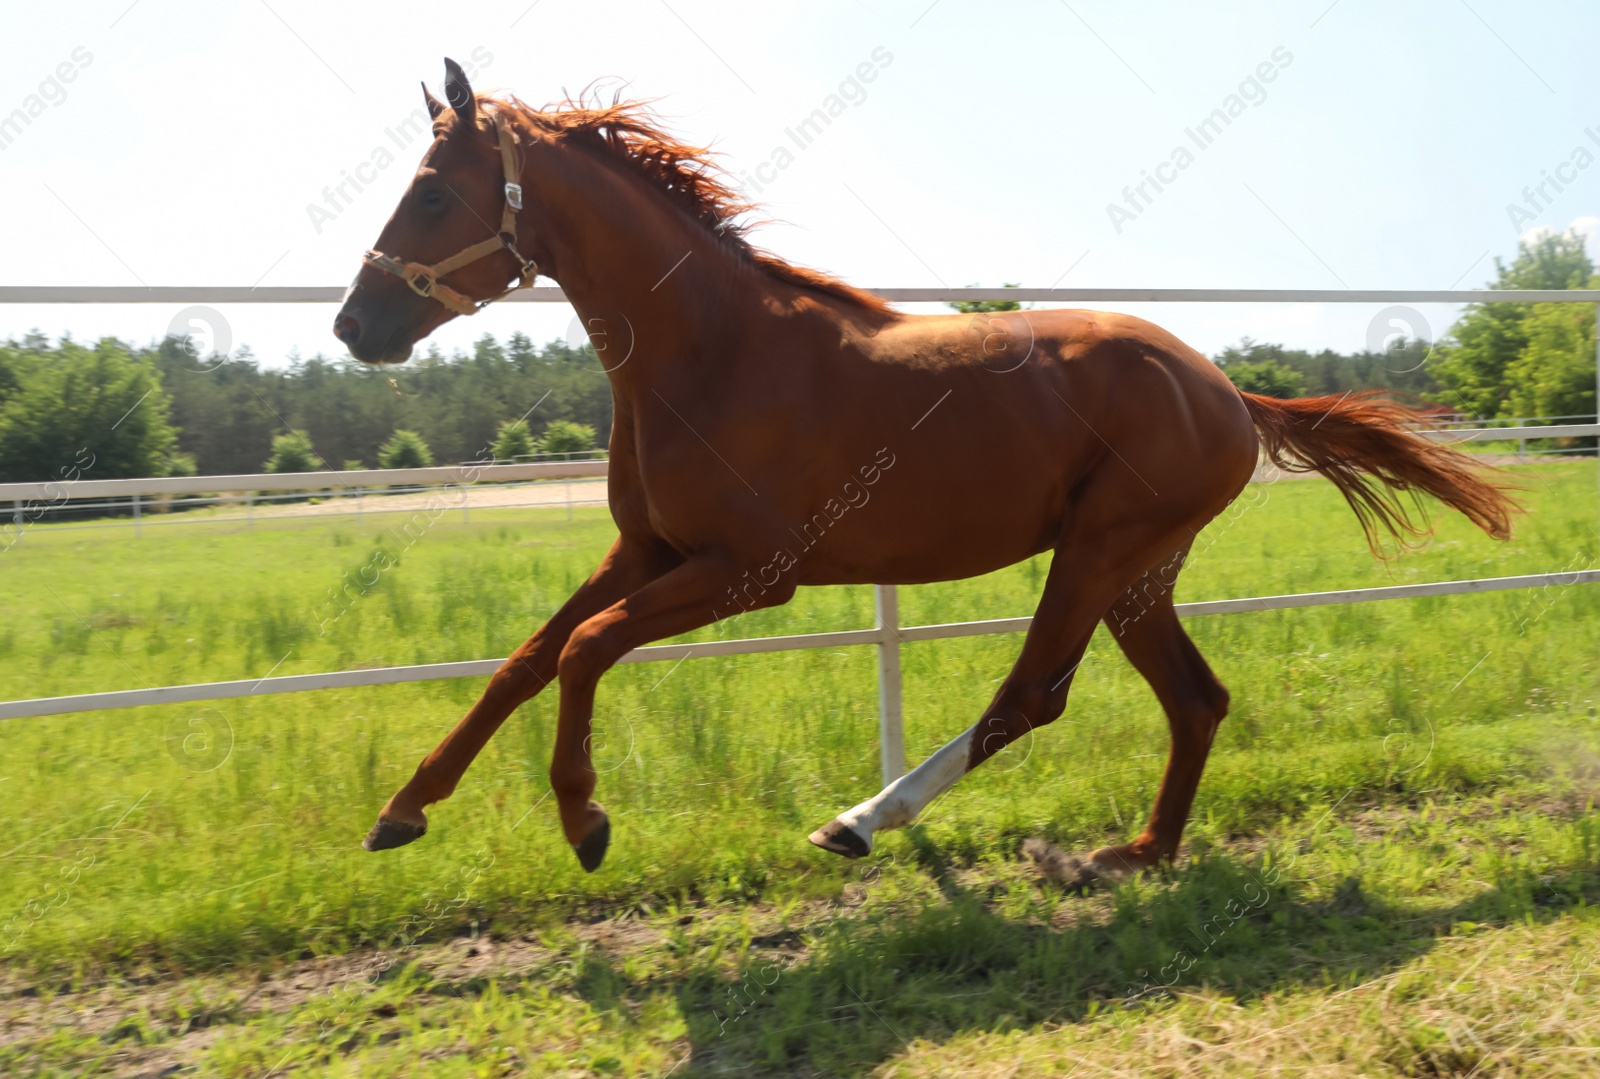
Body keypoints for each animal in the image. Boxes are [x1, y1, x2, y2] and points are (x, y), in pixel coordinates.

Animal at [334, 60, 1510, 883]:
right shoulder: (649, 549)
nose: (355, 325)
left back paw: (859, 822)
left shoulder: (749, 572)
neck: (714, 350)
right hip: (1139, 568)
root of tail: (1225, 390)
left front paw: (585, 821)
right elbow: (524, 659)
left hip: (1100, 549)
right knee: (1196, 698)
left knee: (1031, 694)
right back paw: (1137, 852)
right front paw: (402, 809)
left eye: (430, 193)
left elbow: (583, 650)